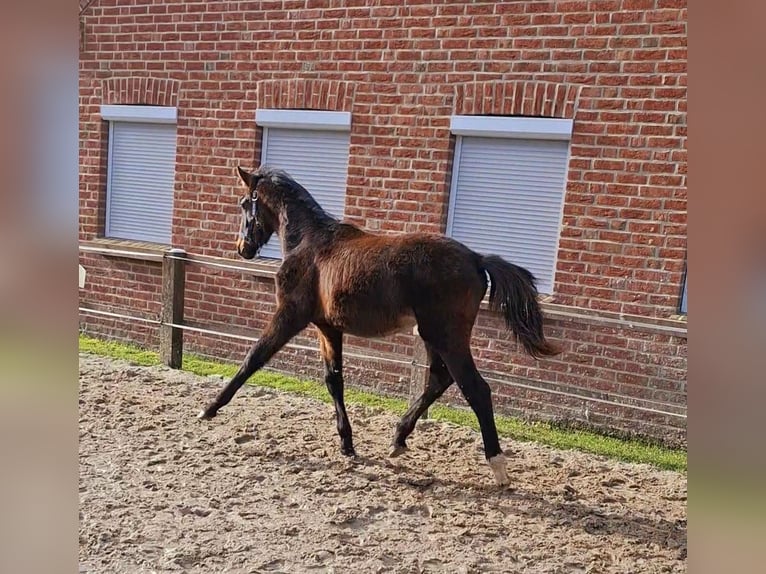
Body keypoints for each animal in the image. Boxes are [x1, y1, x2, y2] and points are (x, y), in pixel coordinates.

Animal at [198, 165, 560, 486]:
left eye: (244, 203)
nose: (242, 248)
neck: (310, 243)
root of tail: (476, 258)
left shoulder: (290, 316)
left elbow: (253, 359)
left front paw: (209, 409)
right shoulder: (327, 327)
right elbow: (334, 380)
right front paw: (347, 444)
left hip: (446, 335)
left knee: (476, 389)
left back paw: (498, 467)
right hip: (431, 335)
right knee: (439, 379)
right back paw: (398, 439)